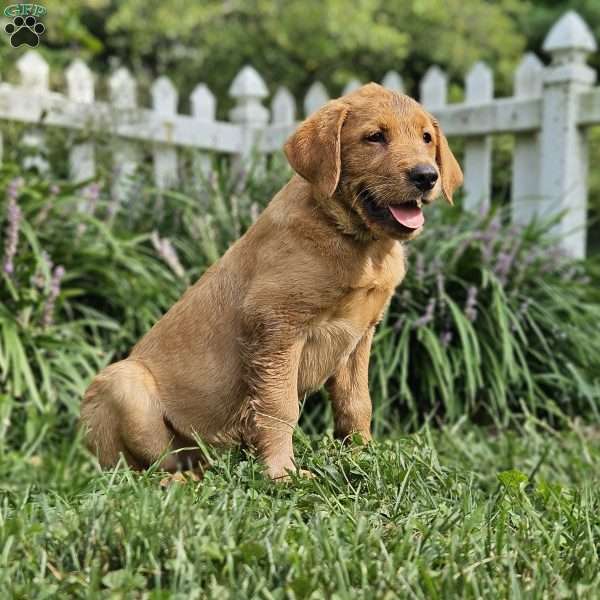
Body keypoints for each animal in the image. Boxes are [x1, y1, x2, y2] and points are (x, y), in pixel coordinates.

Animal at [81, 83, 464, 478]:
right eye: (375, 137)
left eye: (426, 138)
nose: (426, 176)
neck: (357, 242)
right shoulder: (275, 327)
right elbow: (280, 408)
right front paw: (282, 473)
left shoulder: (359, 337)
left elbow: (357, 403)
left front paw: (364, 458)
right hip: (122, 384)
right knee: (135, 469)